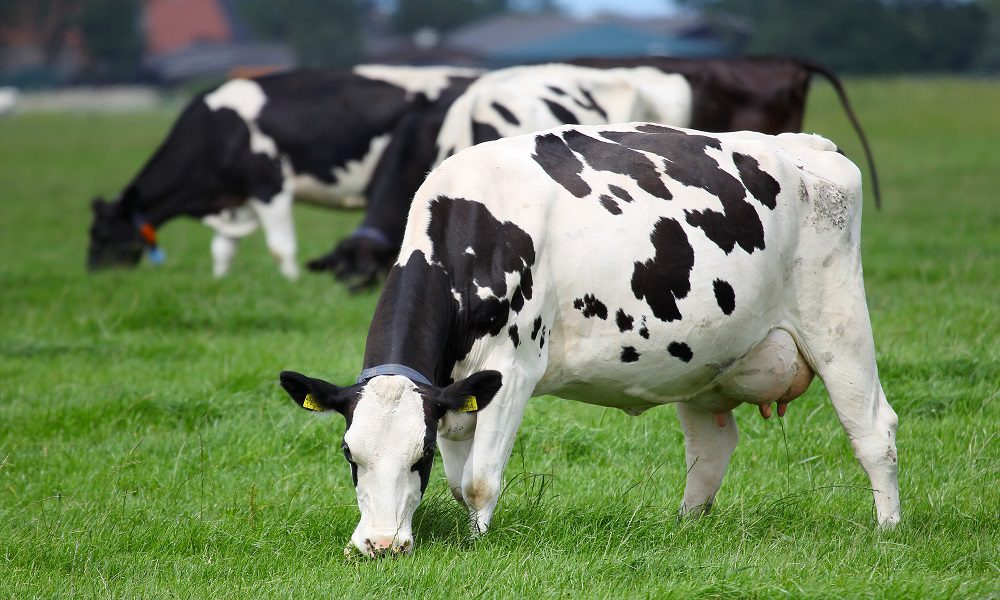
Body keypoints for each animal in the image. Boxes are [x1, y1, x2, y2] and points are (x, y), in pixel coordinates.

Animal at [86, 65, 480, 279]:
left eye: (101, 234)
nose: (94, 274)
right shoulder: (236, 199)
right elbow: (222, 249)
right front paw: (220, 280)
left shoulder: (269, 185)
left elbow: (280, 248)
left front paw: (292, 282)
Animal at [279, 122, 900, 557]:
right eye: (349, 453)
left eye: (419, 455)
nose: (380, 545)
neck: (475, 232)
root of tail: (808, 145)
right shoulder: (456, 391)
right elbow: (458, 483)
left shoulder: (513, 370)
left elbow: (478, 482)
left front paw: (477, 546)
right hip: (706, 359)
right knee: (711, 450)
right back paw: (685, 528)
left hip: (837, 320)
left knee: (873, 430)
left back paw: (887, 531)